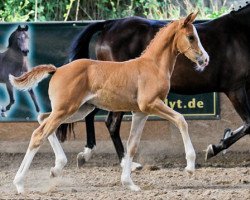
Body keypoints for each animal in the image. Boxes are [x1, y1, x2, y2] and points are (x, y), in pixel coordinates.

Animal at [10, 11, 209, 193]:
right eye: (191, 37)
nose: (205, 59)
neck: (153, 66)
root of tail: (57, 70)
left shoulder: (140, 112)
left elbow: (132, 145)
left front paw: (129, 183)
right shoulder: (151, 104)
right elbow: (181, 120)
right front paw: (190, 167)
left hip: (78, 110)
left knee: (42, 119)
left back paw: (57, 167)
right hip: (66, 109)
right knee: (38, 134)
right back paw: (19, 184)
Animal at [58, 1, 250, 167]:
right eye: (190, 37)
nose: (205, 60)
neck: (240, 33)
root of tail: (109, 25)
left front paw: (223, 138)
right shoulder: (235, 89)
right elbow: (249, 124)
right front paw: (214, 148)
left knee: (92, 115)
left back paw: (87, 153)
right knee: (110, 123)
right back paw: (124, 162)